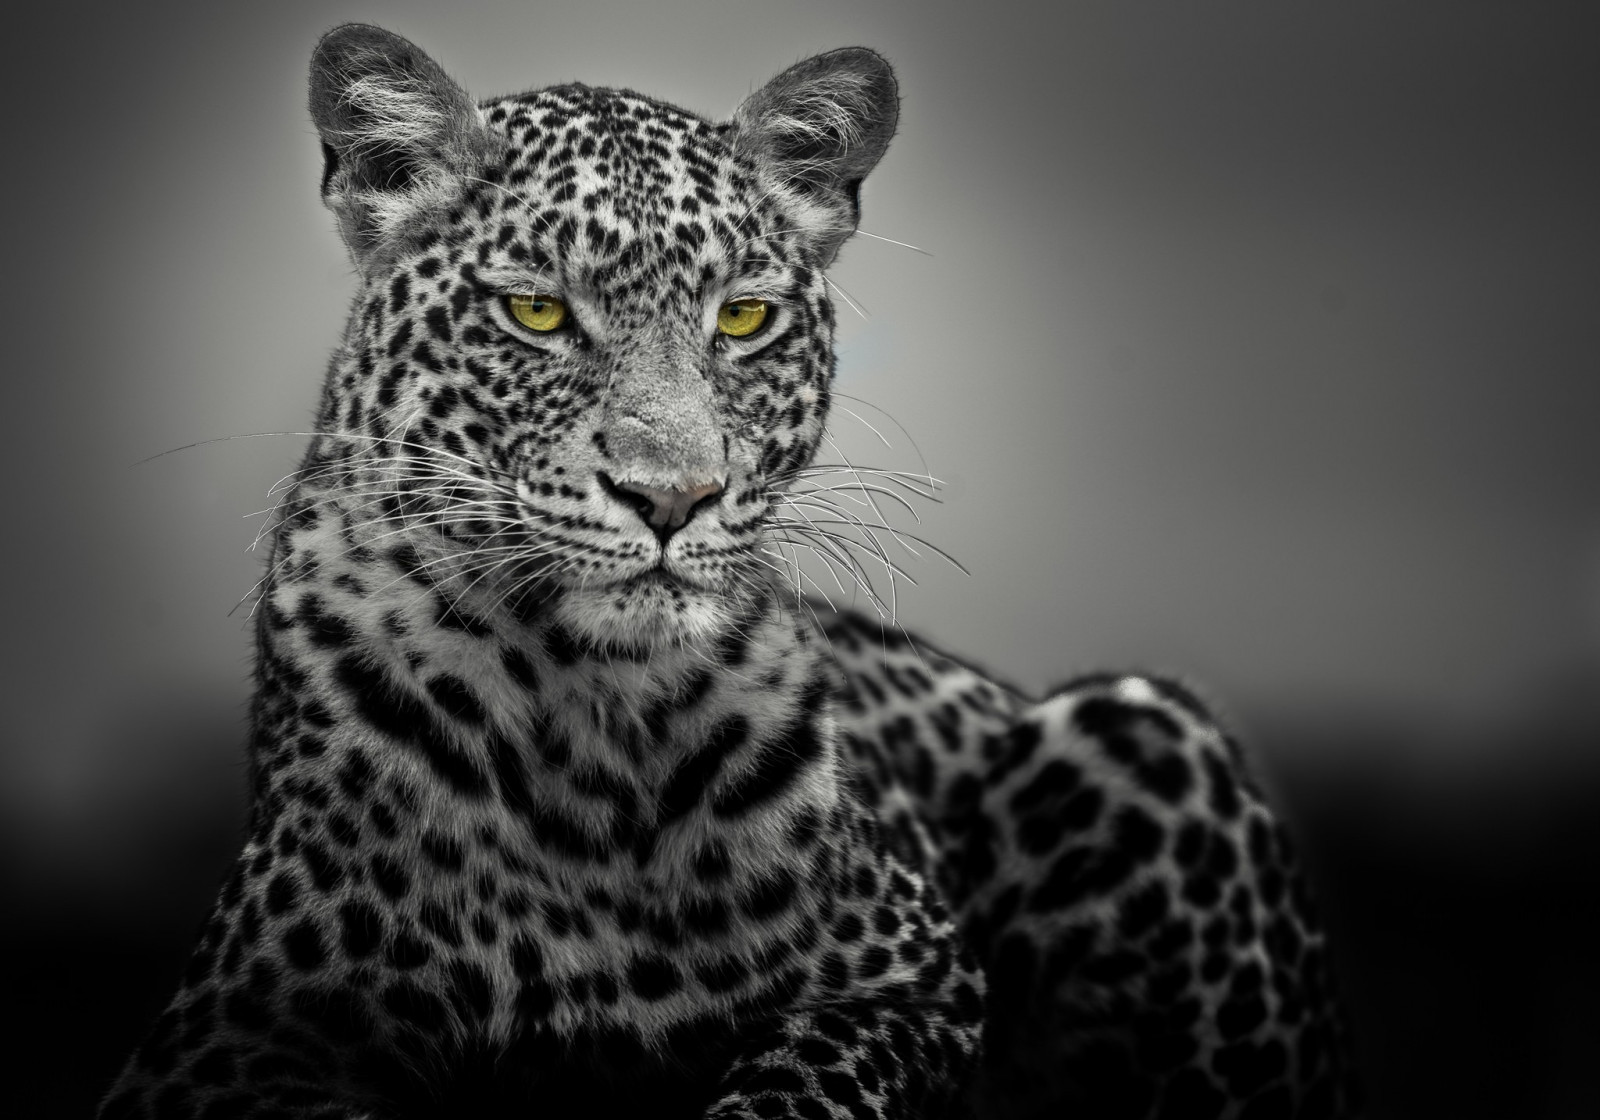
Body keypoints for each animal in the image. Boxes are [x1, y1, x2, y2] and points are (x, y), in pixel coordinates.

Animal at [99, 23, 1358, 1120]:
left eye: (743, 319)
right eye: (537, 311)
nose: (672, 496)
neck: (590, 713)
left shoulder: (910, 976)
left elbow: (794, 1092)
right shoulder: (223, 1041)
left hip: (1141, 726)